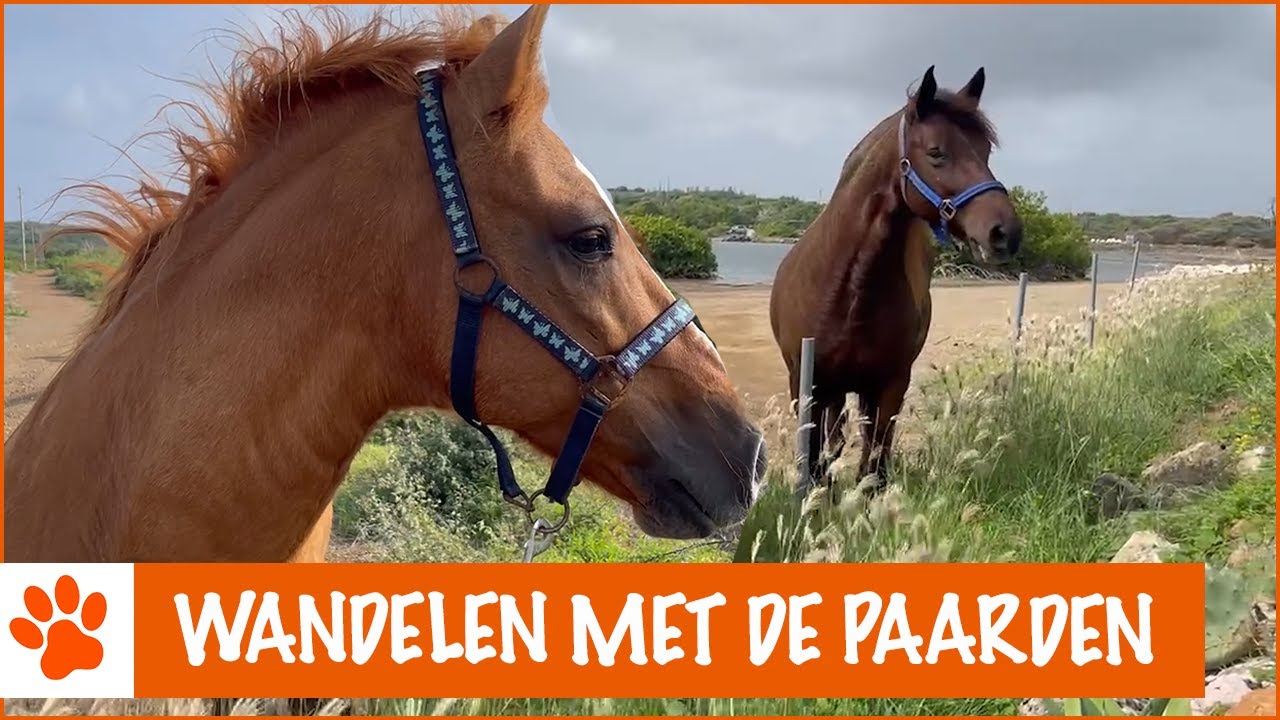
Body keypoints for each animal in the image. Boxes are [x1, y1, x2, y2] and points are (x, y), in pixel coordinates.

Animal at [769, 66, 1023, 493]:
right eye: (936, 152)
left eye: (985, 151)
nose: (1005, 232)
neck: (848, 291)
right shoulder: (805, 384)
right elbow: (816, 464)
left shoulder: (890, 385)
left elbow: (873, 470)